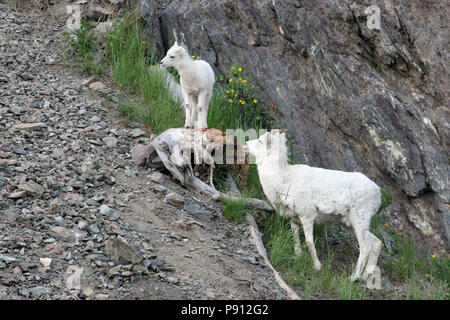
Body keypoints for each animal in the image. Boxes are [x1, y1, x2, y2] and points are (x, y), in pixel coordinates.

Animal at [246, 129, 384, 282]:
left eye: (260, 140)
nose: (246, 144)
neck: (284, 179)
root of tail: (377, 192)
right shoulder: (295, 218)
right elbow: (295, 236)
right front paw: (298, 255)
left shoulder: (307, 216)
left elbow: (309, 242)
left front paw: (317, 267)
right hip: (350, 224)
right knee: (376, 242)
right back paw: (366, 277)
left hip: (359, 220)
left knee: (365, 248)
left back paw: (353, 278)